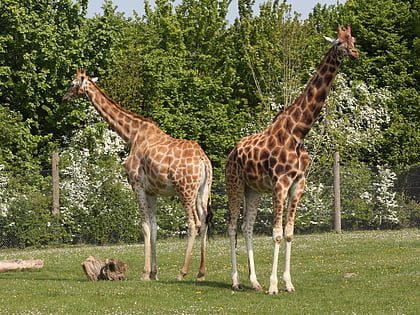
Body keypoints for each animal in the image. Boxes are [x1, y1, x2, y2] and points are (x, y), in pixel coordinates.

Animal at [62, 68, 213, 282]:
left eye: (73, 84)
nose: (63, 97)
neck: (131, 135)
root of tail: (203, 161)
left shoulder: (137, 184)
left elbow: (144, 225)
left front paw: (144, 273)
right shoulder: (152, 191)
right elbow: (154, 226)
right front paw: (154, 273)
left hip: (185, 190)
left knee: (194, 223)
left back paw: (182, 272)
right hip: (203, 190)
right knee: (205, 221)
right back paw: (200, 273)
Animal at [225, 24, 360, 294]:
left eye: (352, 39)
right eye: (339, 42)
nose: (354, 53)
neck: (299, 132)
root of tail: (231, 153)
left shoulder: (299, 183)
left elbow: (288, 233)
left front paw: (287, 282)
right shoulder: (280, 183)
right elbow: (276, 233)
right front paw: (274, 285)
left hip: (253, 189)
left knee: (247, 227)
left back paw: (254, 282)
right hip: (234, 183)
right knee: (233, 226)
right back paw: (236, 281)